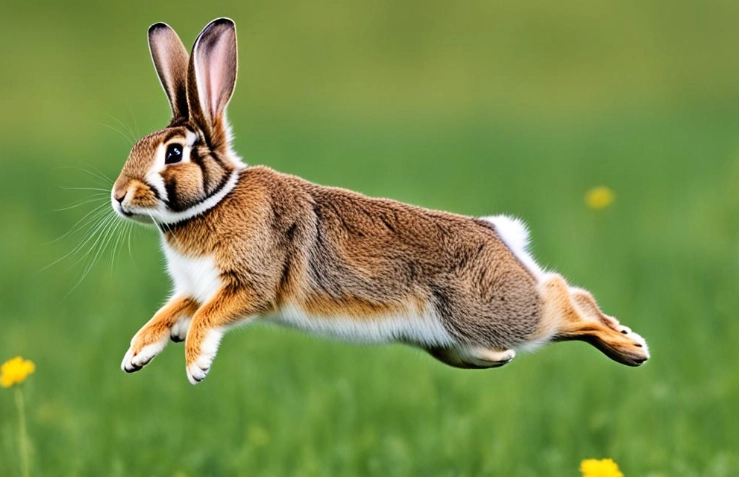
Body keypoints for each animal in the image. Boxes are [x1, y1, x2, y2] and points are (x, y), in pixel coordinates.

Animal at [113, 18, 649, 385]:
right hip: (455, 342)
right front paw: (135, 356)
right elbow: (168, 315)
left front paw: (196, 365)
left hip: (491, 311)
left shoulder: (249, 283)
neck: (212, 199)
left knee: (564, 301)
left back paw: (630, 347)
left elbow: (207, 318)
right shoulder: (194, 288)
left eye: (174, 153)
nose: (119, 197)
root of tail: (499, 235)